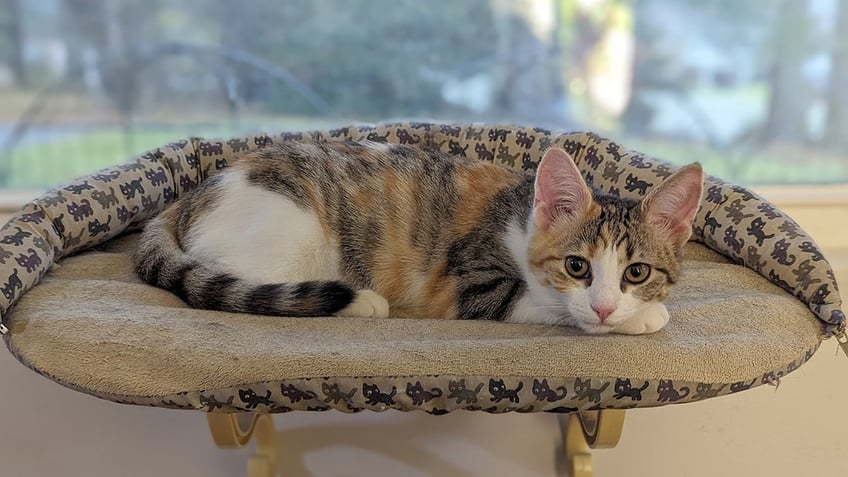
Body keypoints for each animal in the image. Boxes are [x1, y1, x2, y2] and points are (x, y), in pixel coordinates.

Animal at [134, 140, 704, 334]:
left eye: (637, 272)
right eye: (577, 266)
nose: (606, 306)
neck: (521, 216)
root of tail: (188, 199)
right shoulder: (474, 285)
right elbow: (547, 305)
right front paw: (642, 318)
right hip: (294, 241)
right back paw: (361, 301)